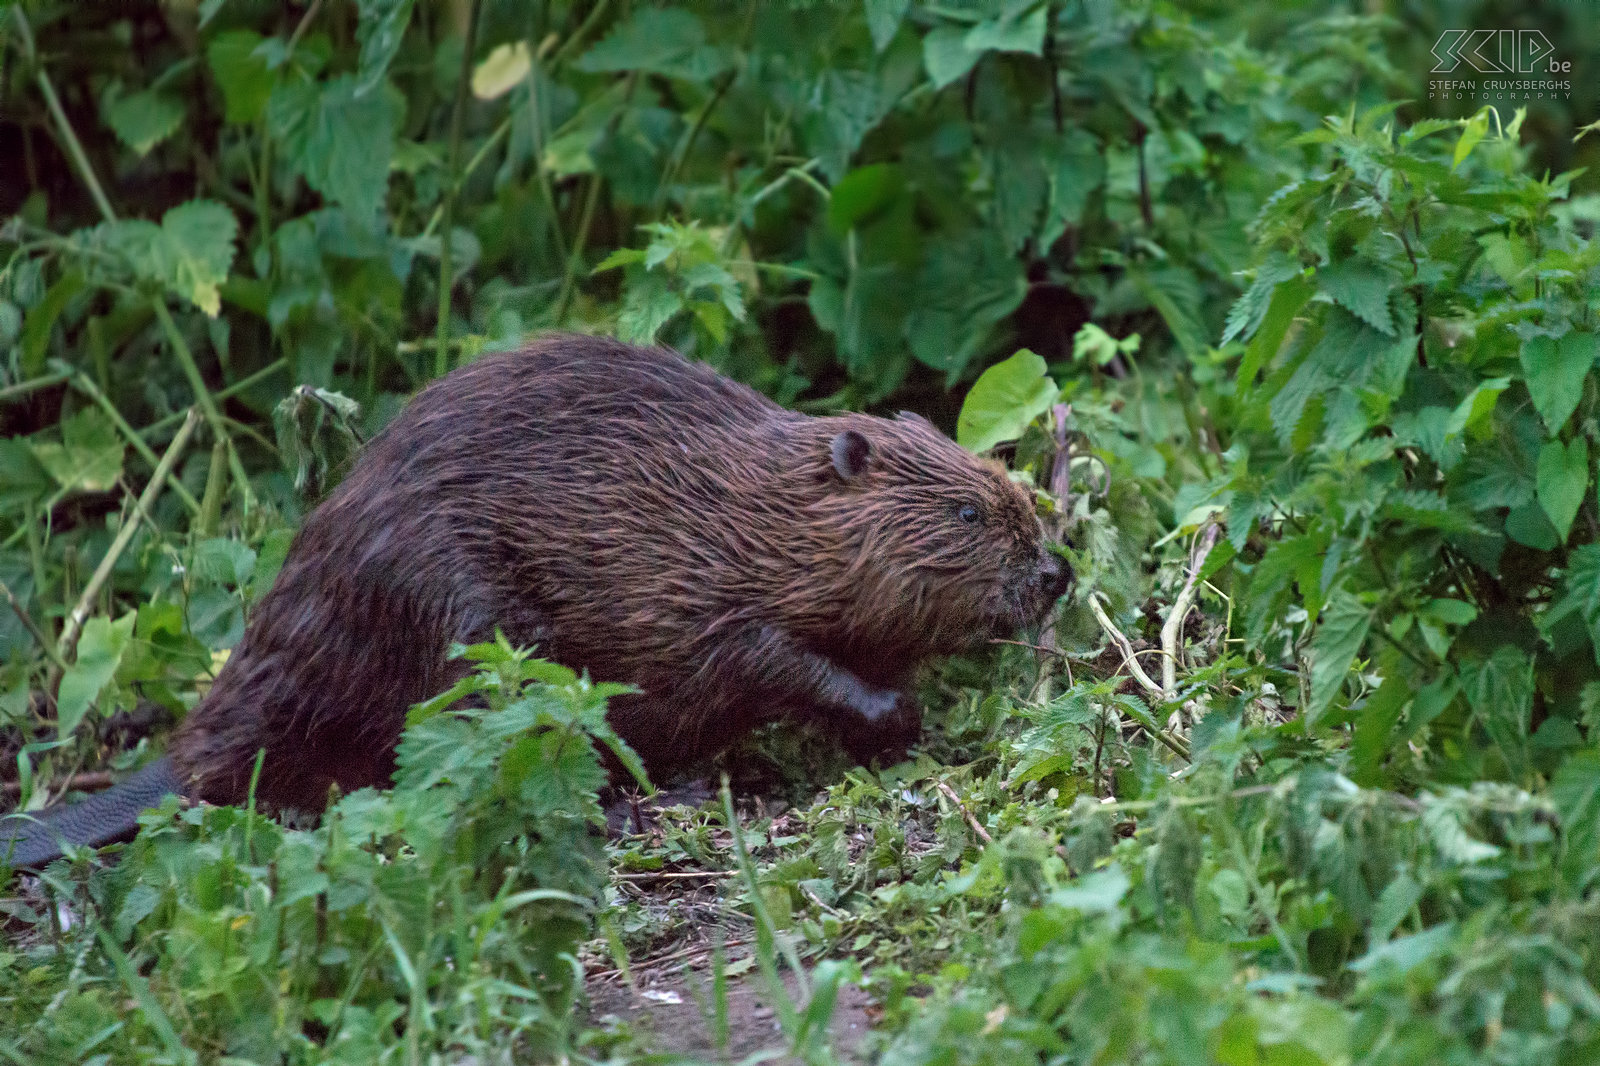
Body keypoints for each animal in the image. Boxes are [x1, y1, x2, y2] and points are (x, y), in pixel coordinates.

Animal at [6, 334, 1075, 864]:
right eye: (968, 511)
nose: (1056, 573)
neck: (743, 508)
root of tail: (184, 758)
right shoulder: (690, 590)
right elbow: (773, 659)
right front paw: (895, 715)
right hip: (461, 620)